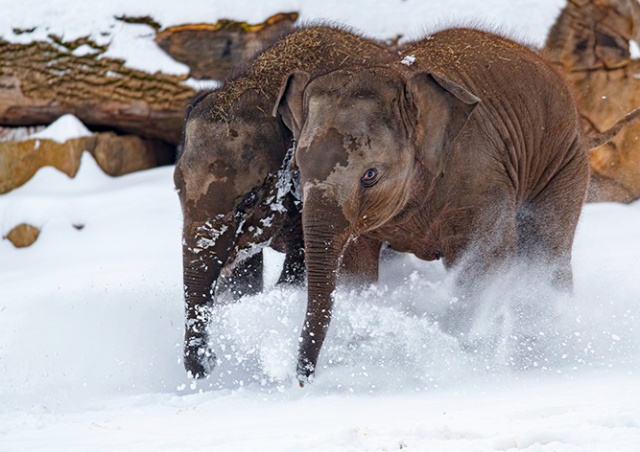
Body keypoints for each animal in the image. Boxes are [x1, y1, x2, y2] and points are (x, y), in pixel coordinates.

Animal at [272, 26, 592, 384]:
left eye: (370, 175)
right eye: (298, 170)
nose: (303, 381)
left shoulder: (480, 179)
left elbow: (487, 261)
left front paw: (466, 359)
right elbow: (356, 267)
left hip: (565, 162)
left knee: (546, 250)